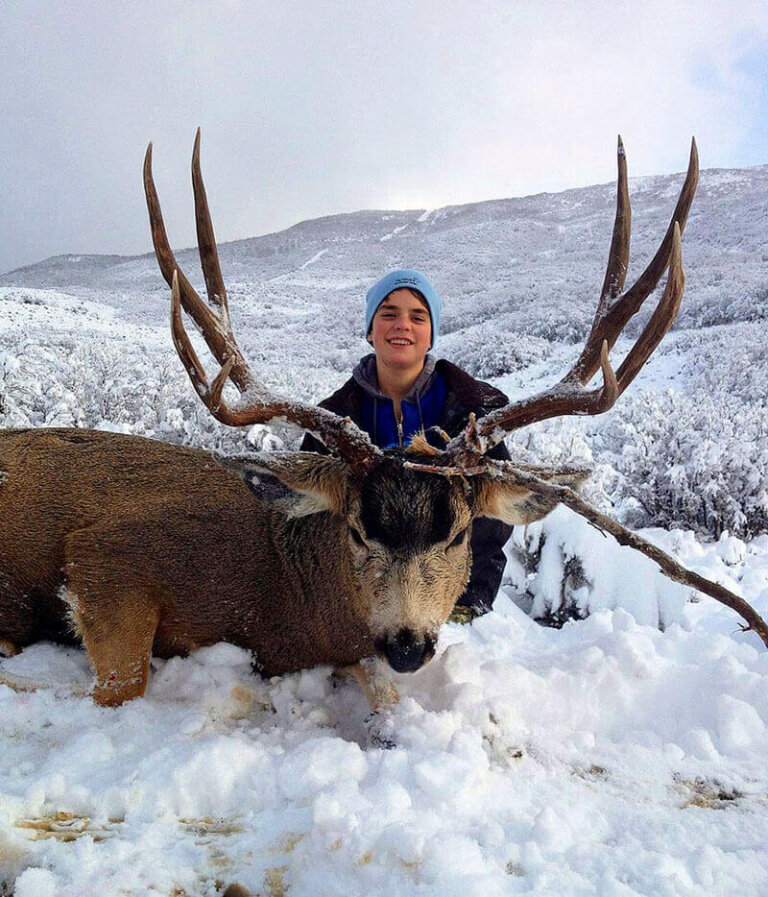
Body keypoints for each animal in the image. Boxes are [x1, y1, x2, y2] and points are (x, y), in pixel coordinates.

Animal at [1, 133, 766, 736]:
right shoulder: (105, 553)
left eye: (457, 531)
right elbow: (119, 684)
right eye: (358, 529)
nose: (406, 643)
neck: (285, 595)